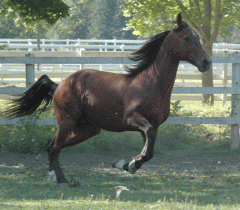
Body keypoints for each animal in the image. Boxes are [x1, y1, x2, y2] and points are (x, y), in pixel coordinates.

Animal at [2, 13, 211, 187]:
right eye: (187, 38)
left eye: (198, 38)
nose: (206, 62)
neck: (150, 83)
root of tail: (60, 85)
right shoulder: (132, 119)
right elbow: (148, 143)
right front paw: (129, 164)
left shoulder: (154, 125)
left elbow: (149, 151)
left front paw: (126, 164)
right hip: (67, 121)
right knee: (54, 147)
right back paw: (61, 181)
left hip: (87, 129)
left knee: (52, 145)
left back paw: (53, 177)